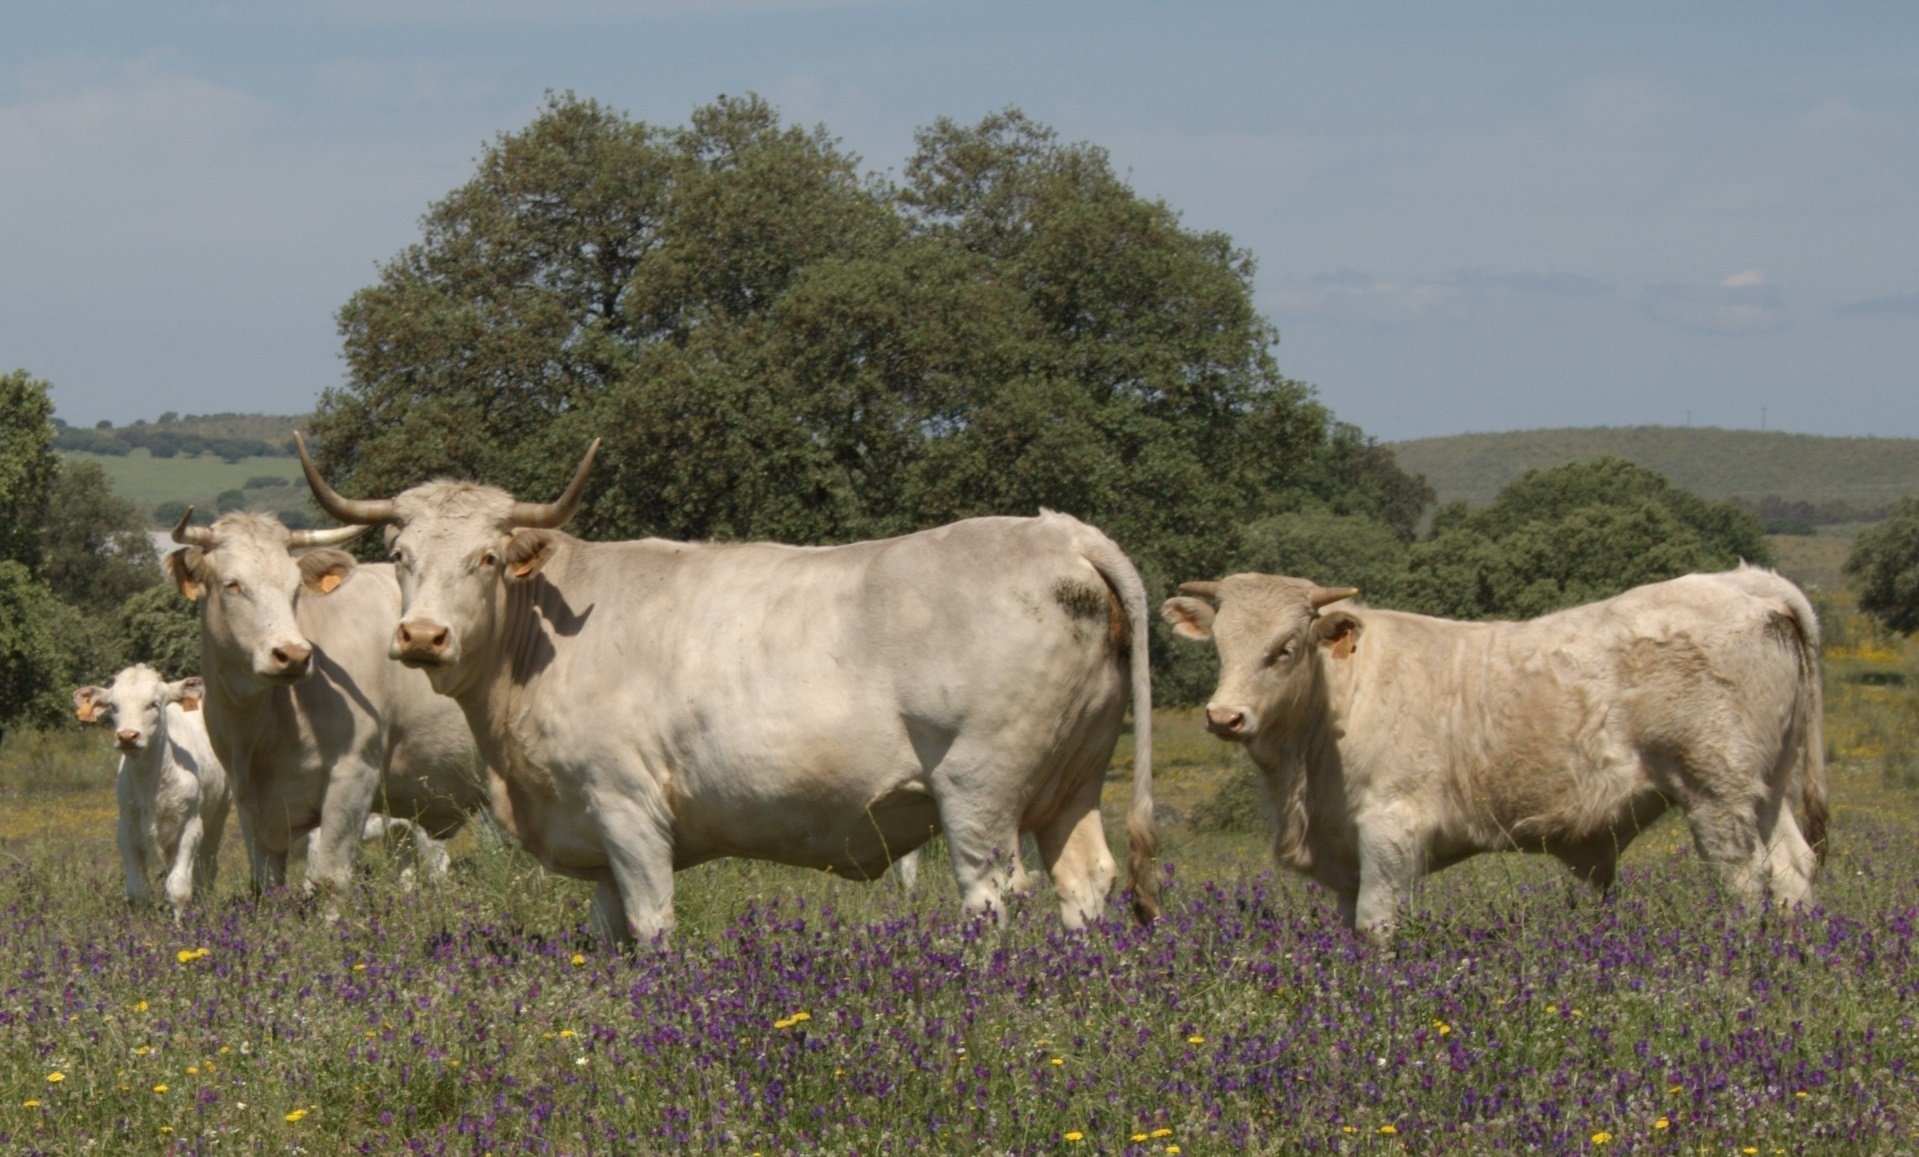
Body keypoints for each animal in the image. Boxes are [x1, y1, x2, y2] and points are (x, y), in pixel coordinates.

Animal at [71, 663, 228, 917]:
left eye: (153, 703)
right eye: (114, 706)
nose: (127, 736)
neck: (150, 783)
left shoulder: (190, 826)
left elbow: (178, 888)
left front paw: (178, 924)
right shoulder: (126, 828)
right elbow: (137, 890)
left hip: (219, 812)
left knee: (207, 864)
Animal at [165, 506, 491, 897]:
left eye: (295, 589)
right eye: (232, 584)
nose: (292, 655)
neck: (261, 729)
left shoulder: (353, 777)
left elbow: (330, 879)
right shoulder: (249, 802)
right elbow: (266, 884)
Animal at [293, 439, 1159, 947]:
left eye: (486, 558)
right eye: (399, 554)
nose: (421, 636)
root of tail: (1058, 531)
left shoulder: (627, 805)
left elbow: (652, 926)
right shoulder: (590, 825)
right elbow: (607, 934)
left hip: (979, 788)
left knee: (991, 895)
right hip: (1072, 782)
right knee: (1084, 882)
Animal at [1151, 571, 1826, 940]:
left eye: (1285, 647)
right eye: (1220, 644)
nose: (1224, 716)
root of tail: (1744, 583)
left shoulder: (1392, 829)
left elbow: (1377, 924)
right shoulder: (1343, 848)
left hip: (1716, 793)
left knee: (1744, 883)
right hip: (1767, 789)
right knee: (1791, 869)